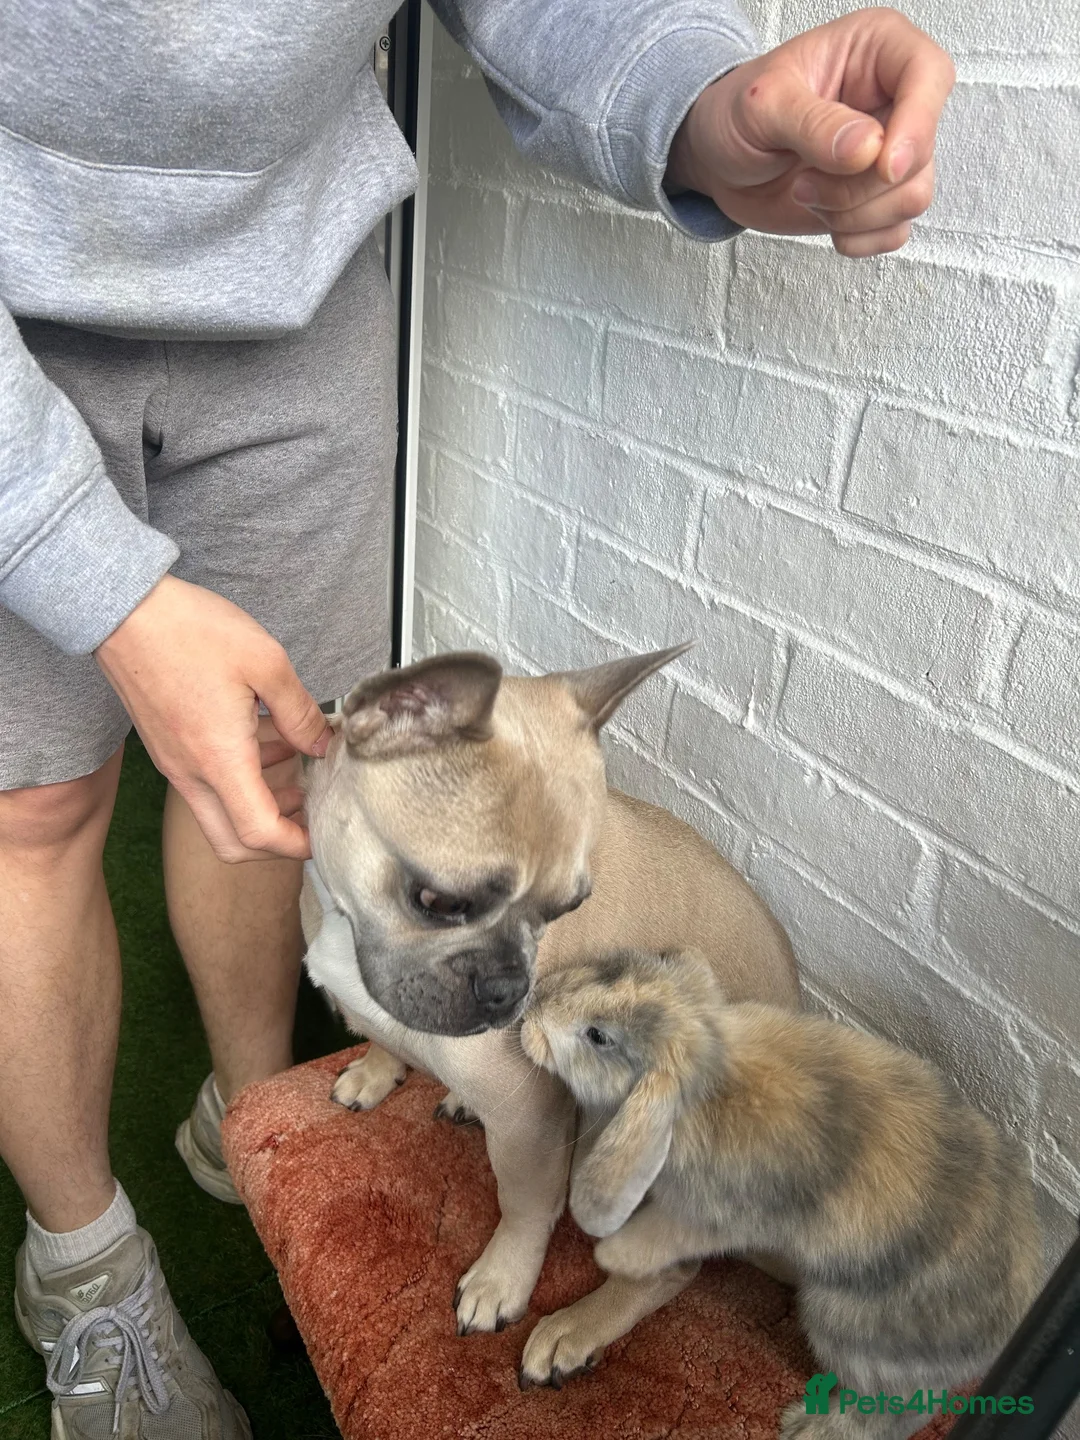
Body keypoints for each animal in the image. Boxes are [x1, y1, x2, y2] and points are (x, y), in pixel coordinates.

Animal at [517, 949, 1042, 1438]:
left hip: (840, 1322)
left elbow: (665, 1247)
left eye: (598, 1036)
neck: (713, 1071)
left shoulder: (712, 1212)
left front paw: (611, 1259)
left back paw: (806, 1426)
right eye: (613, 967)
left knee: (902, 1406)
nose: (532, 1004)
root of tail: (1003, 1334)